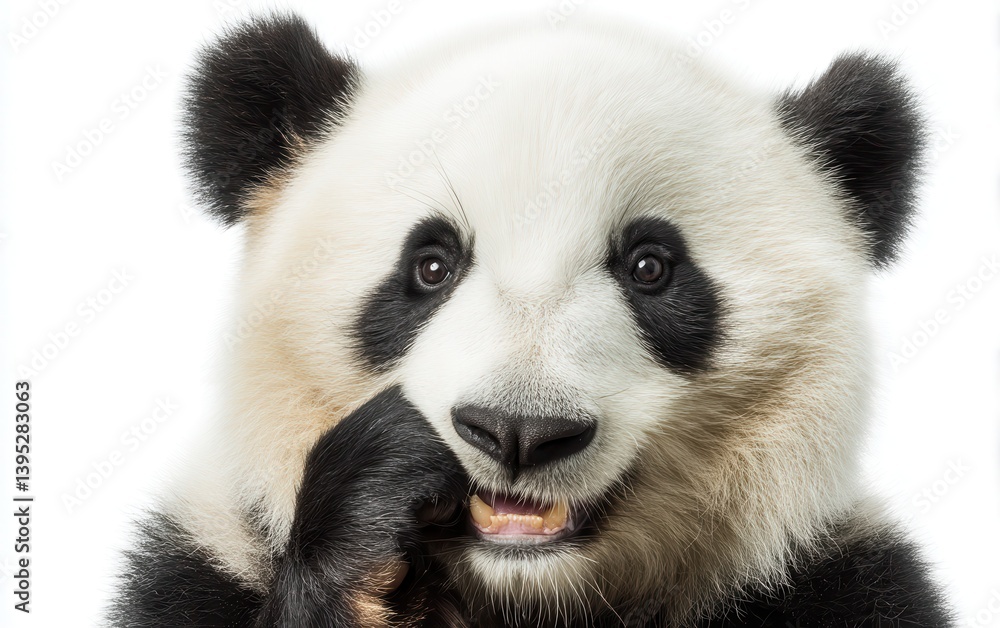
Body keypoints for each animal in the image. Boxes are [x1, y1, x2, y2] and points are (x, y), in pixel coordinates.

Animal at [110, 11, 953, 628]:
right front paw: (375, 498)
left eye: (650, 267)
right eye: (431, 265)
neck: (524, 595)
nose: (520, 432)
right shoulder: (207, 565)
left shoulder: (840, 581)